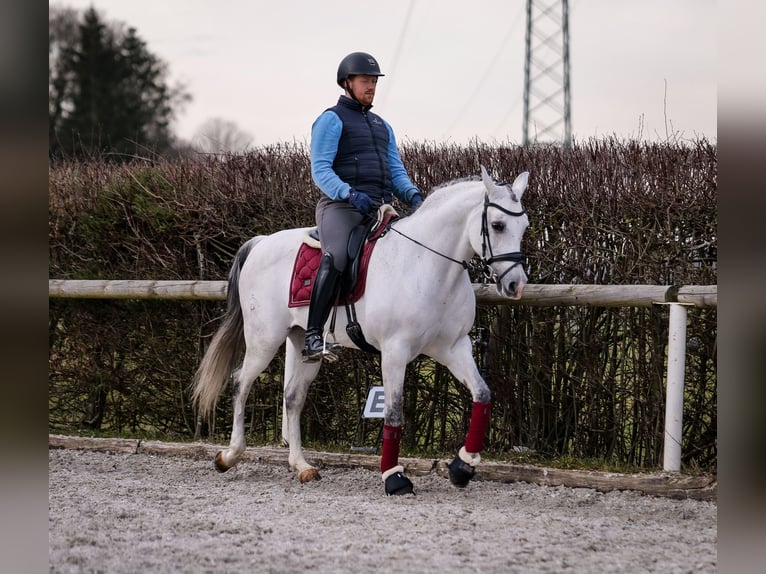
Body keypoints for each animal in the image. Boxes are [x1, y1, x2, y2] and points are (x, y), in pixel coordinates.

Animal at [194, 165, 528, 496]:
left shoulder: (455, 347)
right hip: (264, 340)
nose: (516, 284)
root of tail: (261, 243)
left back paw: (302, 466)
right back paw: (229, 455)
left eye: (524, 226)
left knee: (293, 396)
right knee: (241, 383)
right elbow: (393, 413)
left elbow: (482, 394)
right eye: (497, 225)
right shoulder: (395, 351)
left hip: (301, 342)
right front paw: (394, 477)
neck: (427, 264)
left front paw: (462, 467)